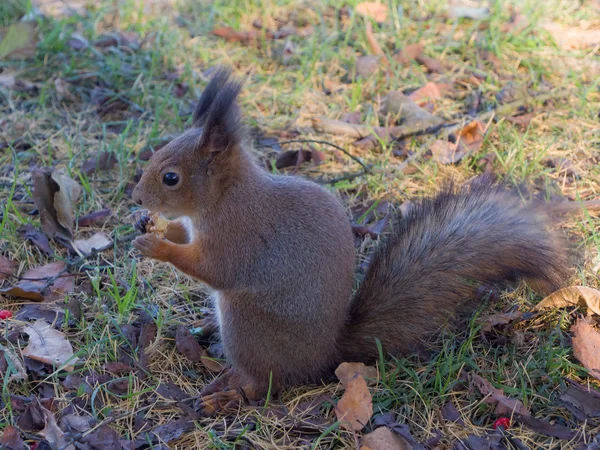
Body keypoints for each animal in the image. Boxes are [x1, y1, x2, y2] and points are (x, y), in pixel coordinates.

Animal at [132, 67, 576, 414]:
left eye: (171, 177)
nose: (136, 198)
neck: (224, 198)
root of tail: (325, 355)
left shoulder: (238, 237)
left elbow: (212, 268)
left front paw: (158, 247)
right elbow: (183, 232)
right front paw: (150, 226)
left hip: (247, 326)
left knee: (265, 383)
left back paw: (229, 392)